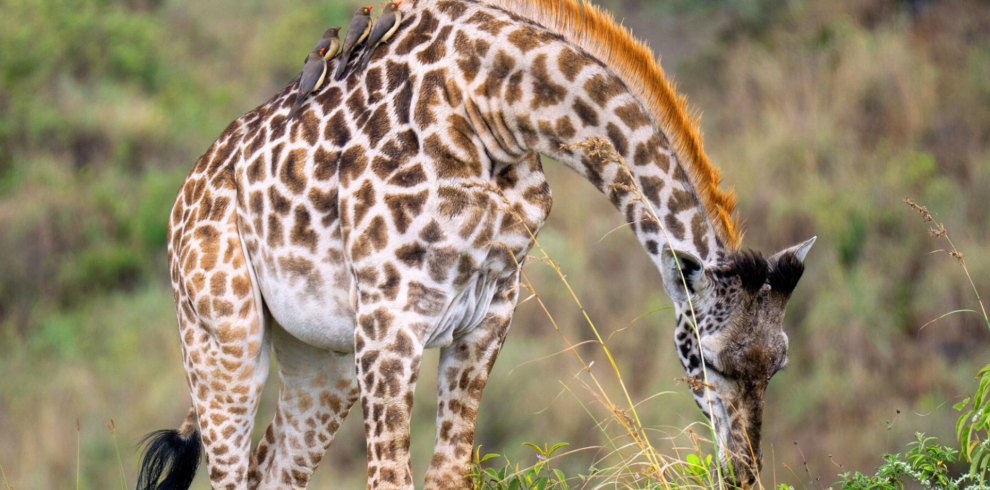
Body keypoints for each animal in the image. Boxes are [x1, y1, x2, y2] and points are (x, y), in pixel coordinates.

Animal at [136, 0, 816, 488]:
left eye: (778, 365)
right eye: (710, 361)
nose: (742, 473)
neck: (498, 103)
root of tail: (180, 204)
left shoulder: (487, 318)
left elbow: (449, 473)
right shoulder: (390, 324)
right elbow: (391, 479)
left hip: (322, 360)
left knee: (273, 470)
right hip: (224, 338)